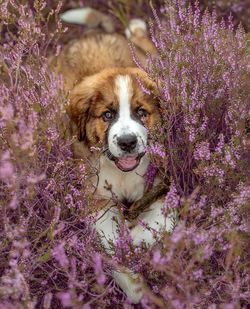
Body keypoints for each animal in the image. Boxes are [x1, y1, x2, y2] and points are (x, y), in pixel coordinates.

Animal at [51, 7, 176, 304]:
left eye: (141, 112)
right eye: (107, 115)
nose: (128, 142)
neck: (122, 173)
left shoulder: (164, 185)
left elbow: (160, 223)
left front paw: (136, 239)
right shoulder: (94, 198)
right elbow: (109, 240)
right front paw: (133, 282)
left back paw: (137, 27)